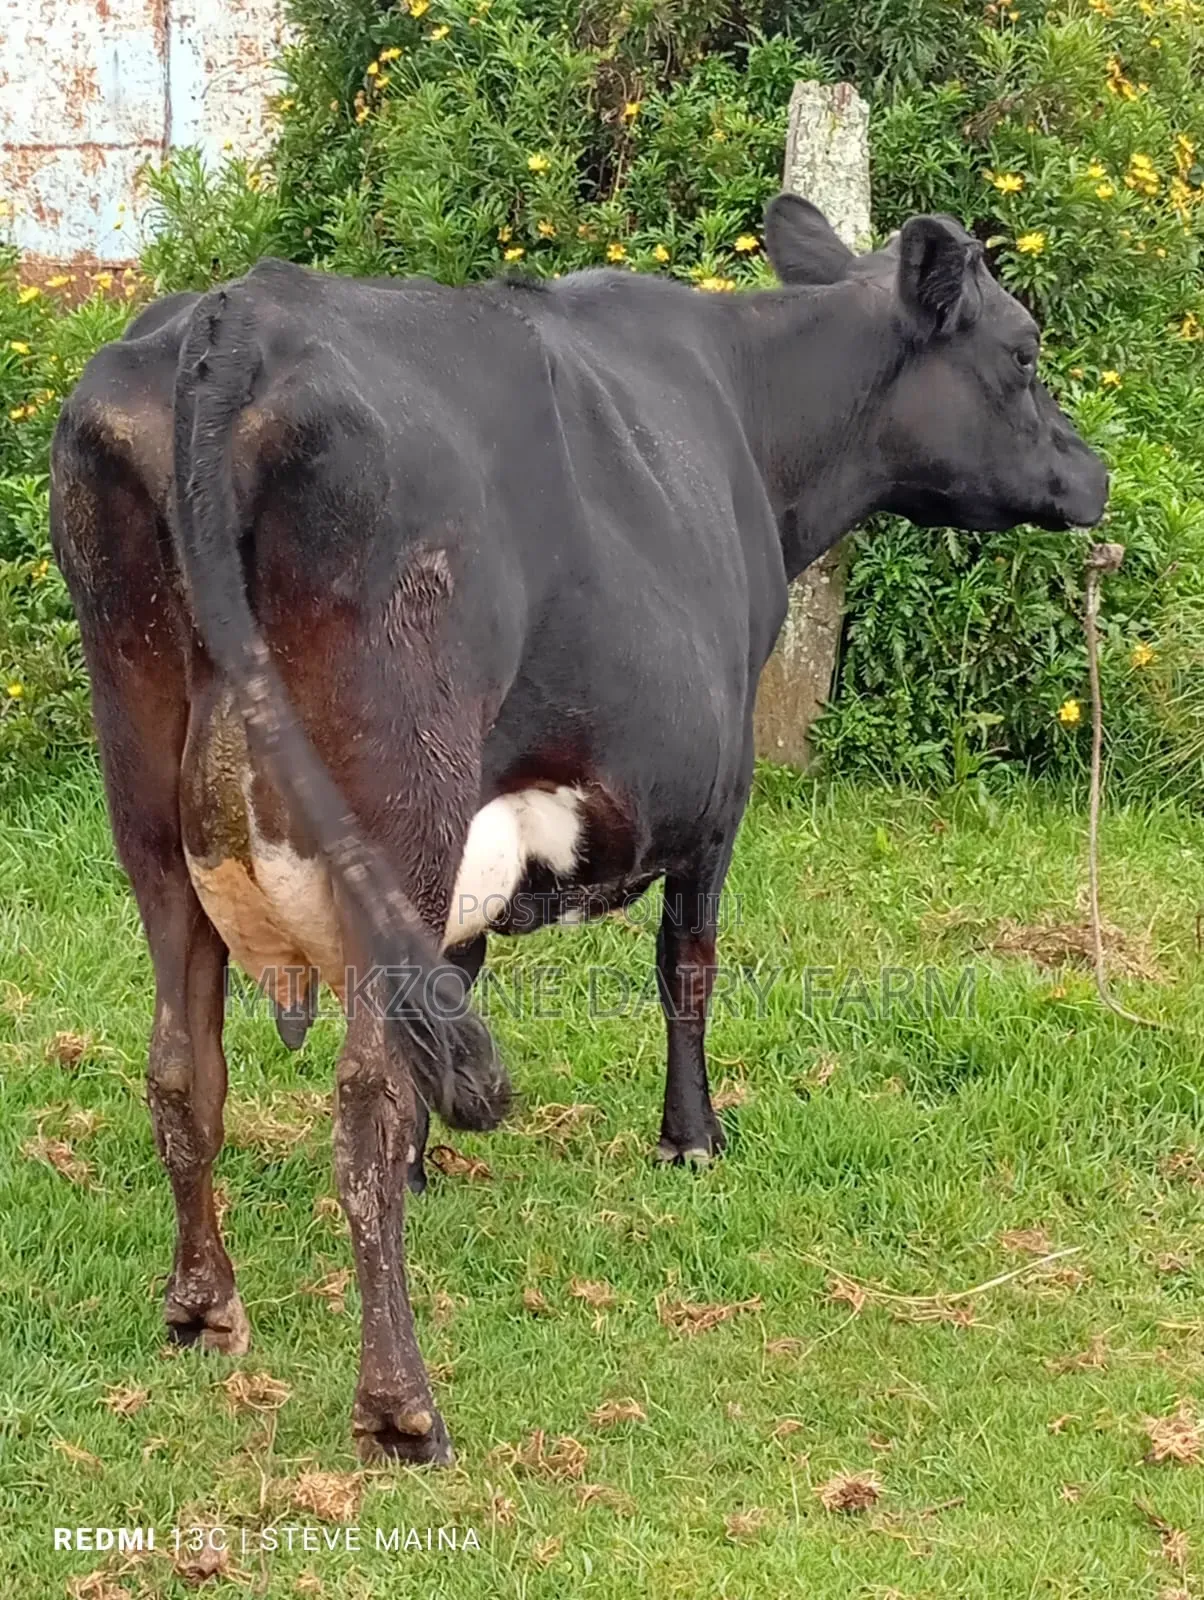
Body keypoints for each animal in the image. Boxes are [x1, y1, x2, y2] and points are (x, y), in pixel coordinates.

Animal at [50, 195, 1108, 1465]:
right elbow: (686, 965)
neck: (752, 426)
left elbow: (456, 976)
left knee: (182, 1069)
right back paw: (401, 1405)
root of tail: (234, 319)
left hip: (150, 798)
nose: (1094, 474)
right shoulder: (718, 793)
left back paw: (202, 1308)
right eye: (1025, 352)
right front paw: (692, 1137)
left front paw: (433, 1171)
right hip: (397, 793)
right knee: (358, 1097)